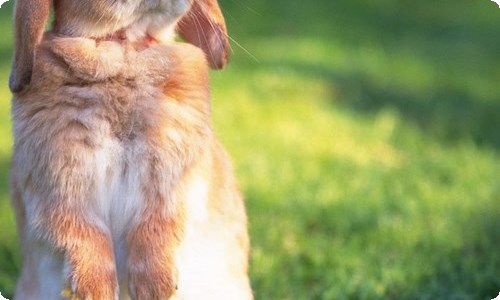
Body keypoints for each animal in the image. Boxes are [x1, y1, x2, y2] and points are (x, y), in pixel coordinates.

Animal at [7, 0, 250, 300]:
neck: (124, 50)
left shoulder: (174, 182)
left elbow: (157, 225)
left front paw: (155, 288)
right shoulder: (59, 187)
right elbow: (84, 232)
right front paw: (94, 290)